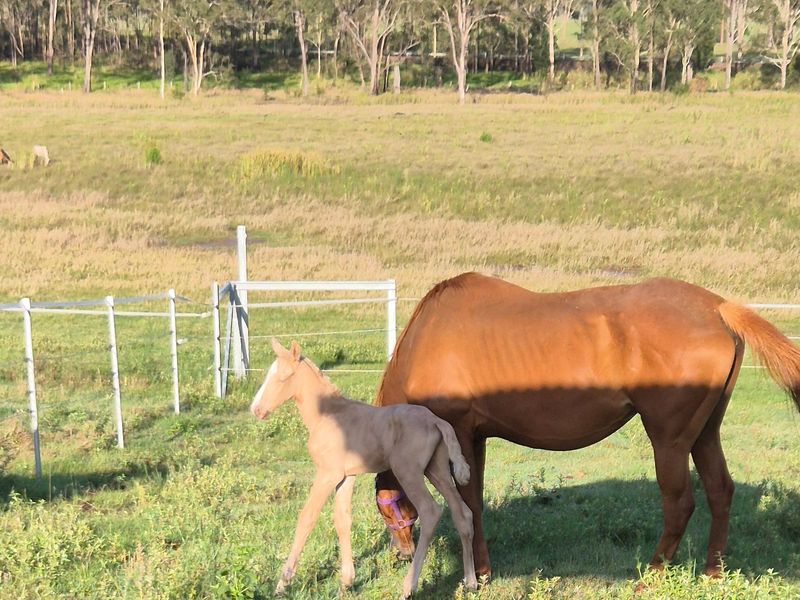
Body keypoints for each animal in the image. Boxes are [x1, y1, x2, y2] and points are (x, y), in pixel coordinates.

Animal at [250, 338, 479, 598]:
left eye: (282, 377)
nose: (256, 409)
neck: (327, 414)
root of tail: (436, 421)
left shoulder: (327, 474)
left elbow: (306, 518)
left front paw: (282, 583)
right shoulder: (345, 477)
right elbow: (342, 519)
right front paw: (346, 581)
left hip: (408, 471)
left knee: (430, 511)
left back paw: (408, 587)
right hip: (436, 470)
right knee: (463, 513)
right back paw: (471, 582)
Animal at [374, 272, 800, 578]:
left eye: (386, 510)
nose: (401, 554)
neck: (427, 339)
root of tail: (717, 307)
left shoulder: (460, 433)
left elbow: (466, 505)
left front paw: (475, 576)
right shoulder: (475, 439)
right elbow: (475, 504)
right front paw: (483, 569)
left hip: (670, 440)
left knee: (680, 504)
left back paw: (651, 576)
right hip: (705, 433)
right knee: (720, 491)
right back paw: (713, 572)